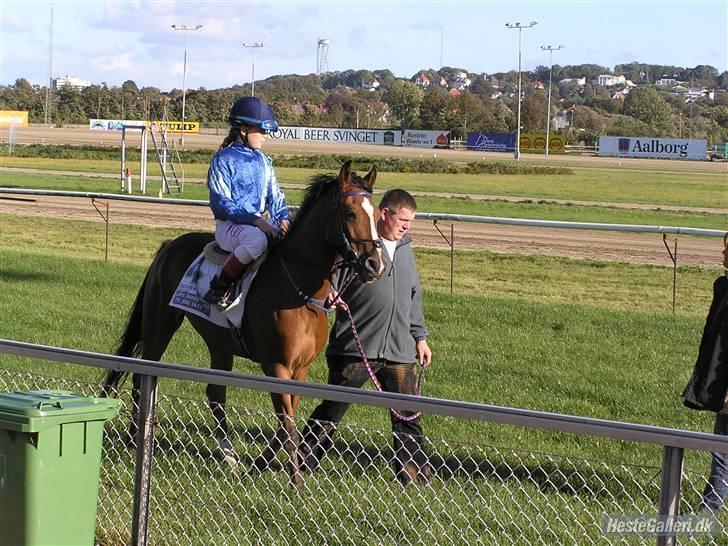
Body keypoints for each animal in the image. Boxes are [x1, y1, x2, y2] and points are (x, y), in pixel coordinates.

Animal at [105, 160, 386, 484]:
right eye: (351, 213)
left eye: (377, 214)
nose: (375, 265)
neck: (297, 289)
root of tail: (169, 245)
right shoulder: (275, 366)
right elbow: (287, 422)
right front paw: (296, 480)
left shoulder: (300, 369)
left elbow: (287, 419)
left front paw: (262, 465)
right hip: (160, 324)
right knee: (143, 376)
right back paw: (134, 438)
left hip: (219, 342)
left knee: (215, 393)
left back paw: (228, 455)